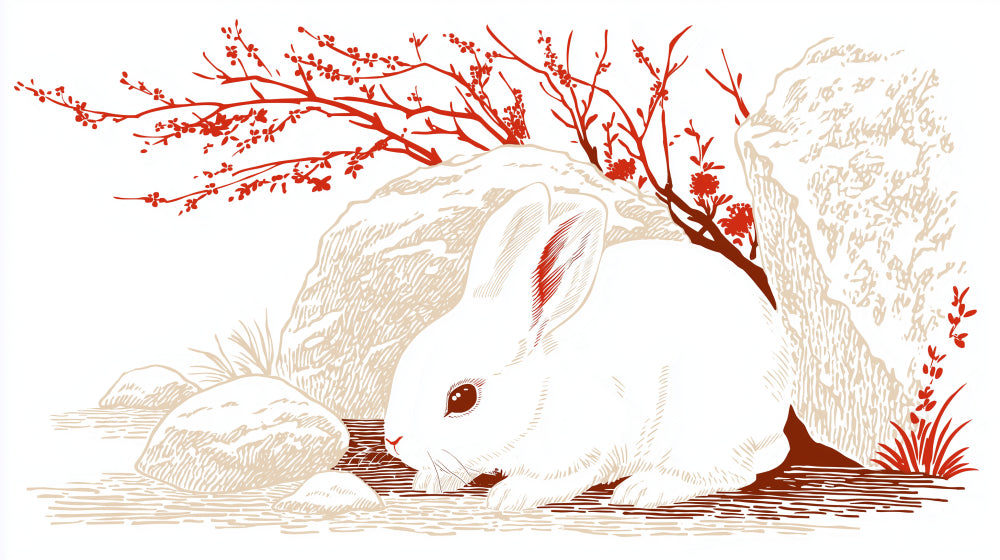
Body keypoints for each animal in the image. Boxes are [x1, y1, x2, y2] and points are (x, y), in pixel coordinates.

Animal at [383, 182, 790, 511]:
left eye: (462, 398)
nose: (393, 441)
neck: (542, 394)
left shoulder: (591, 443)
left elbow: (564, 478)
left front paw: (512, 493)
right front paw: (431, 480)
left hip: (704, 426)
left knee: (726, 474)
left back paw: (644, 489)